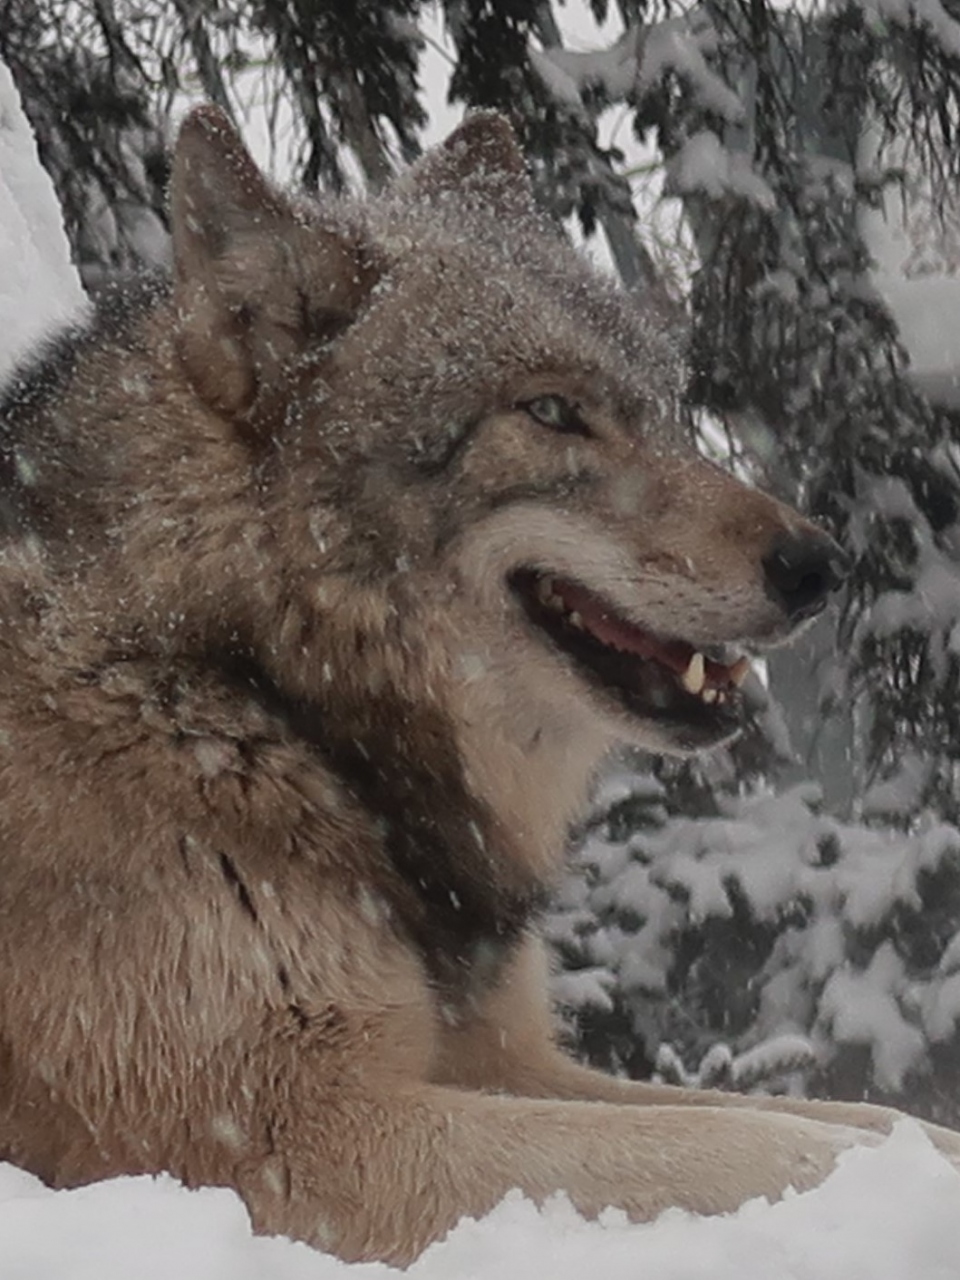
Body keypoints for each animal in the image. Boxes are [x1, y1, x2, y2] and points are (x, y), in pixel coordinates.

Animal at [0, 104, 957, 1264]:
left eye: (669, 409)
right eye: (549, 410)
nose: (822, 565)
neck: (247, 698)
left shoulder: (509, 1057)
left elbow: (853, 1114)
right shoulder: (291, 1140)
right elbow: (759, 1145)